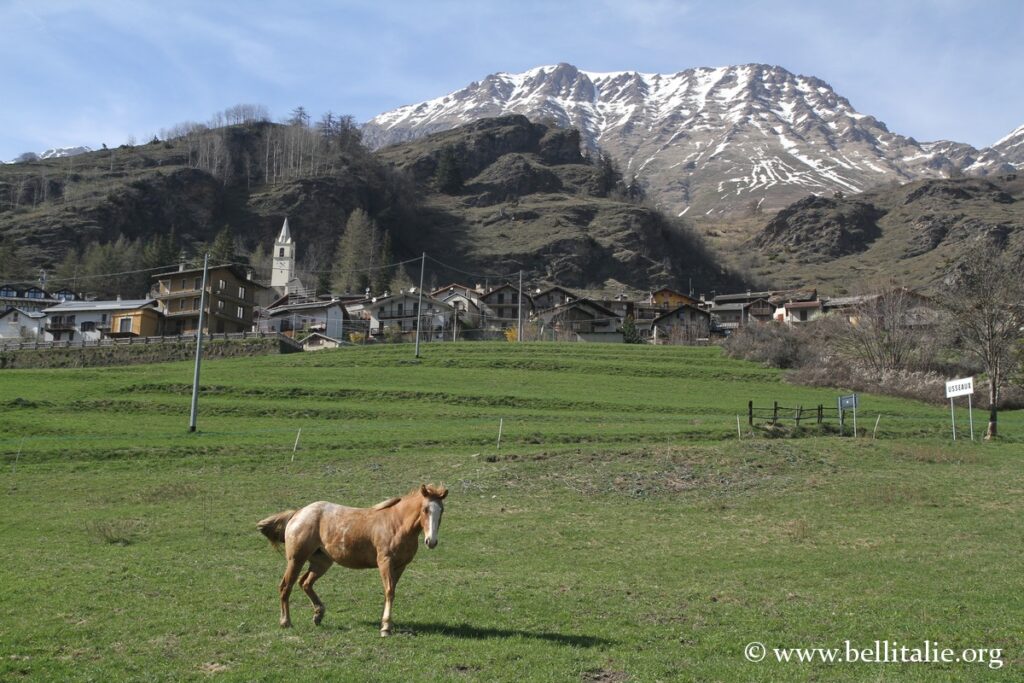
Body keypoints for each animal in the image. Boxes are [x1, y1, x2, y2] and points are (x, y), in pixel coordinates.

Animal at [258, 483, 446, 638]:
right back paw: (286, 622)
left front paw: (385, 624)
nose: (431, 541)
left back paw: (318, 615)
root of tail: (297, 513)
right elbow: (389, 591)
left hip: (322, 562)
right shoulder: (385, 562)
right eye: (425, 509)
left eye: (441, 510)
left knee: (305, 582)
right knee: (285, 586)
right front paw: (385, 628)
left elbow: (391, 592)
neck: (396, 524)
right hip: (296, 559)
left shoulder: (400, 566)